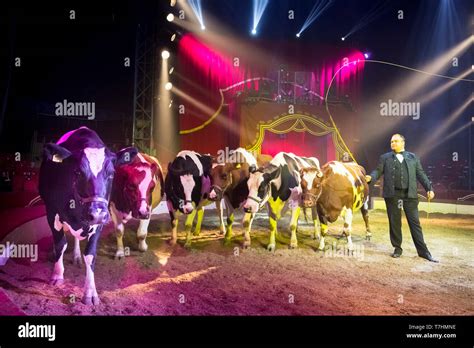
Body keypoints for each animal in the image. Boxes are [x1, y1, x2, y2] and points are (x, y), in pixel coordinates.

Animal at [37, 127, 132, 304]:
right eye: (78, 172)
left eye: (111, 173)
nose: (96, 213)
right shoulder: (52, 212)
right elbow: (60, 244)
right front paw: (57, 275)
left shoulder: (99, 221)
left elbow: (90, 255)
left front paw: (90, 292)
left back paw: (76, 256)